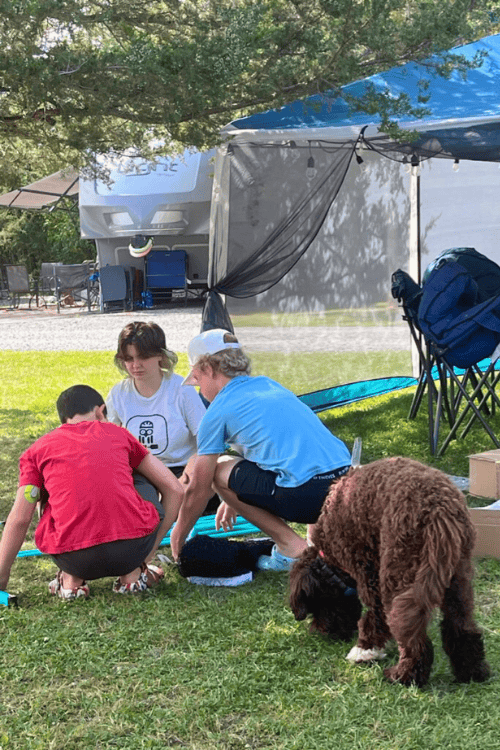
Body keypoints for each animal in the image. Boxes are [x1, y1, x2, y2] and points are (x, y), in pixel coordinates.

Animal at [292, 456, 490, 692]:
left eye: (316, 605)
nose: (319, 632)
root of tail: (440, 509)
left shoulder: (367, 570)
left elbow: (374, 614)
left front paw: (366, 651)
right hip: (458, 577)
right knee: (461, 625)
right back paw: (472, 672)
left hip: (399, 574)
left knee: (413, 635)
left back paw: (403, 675)